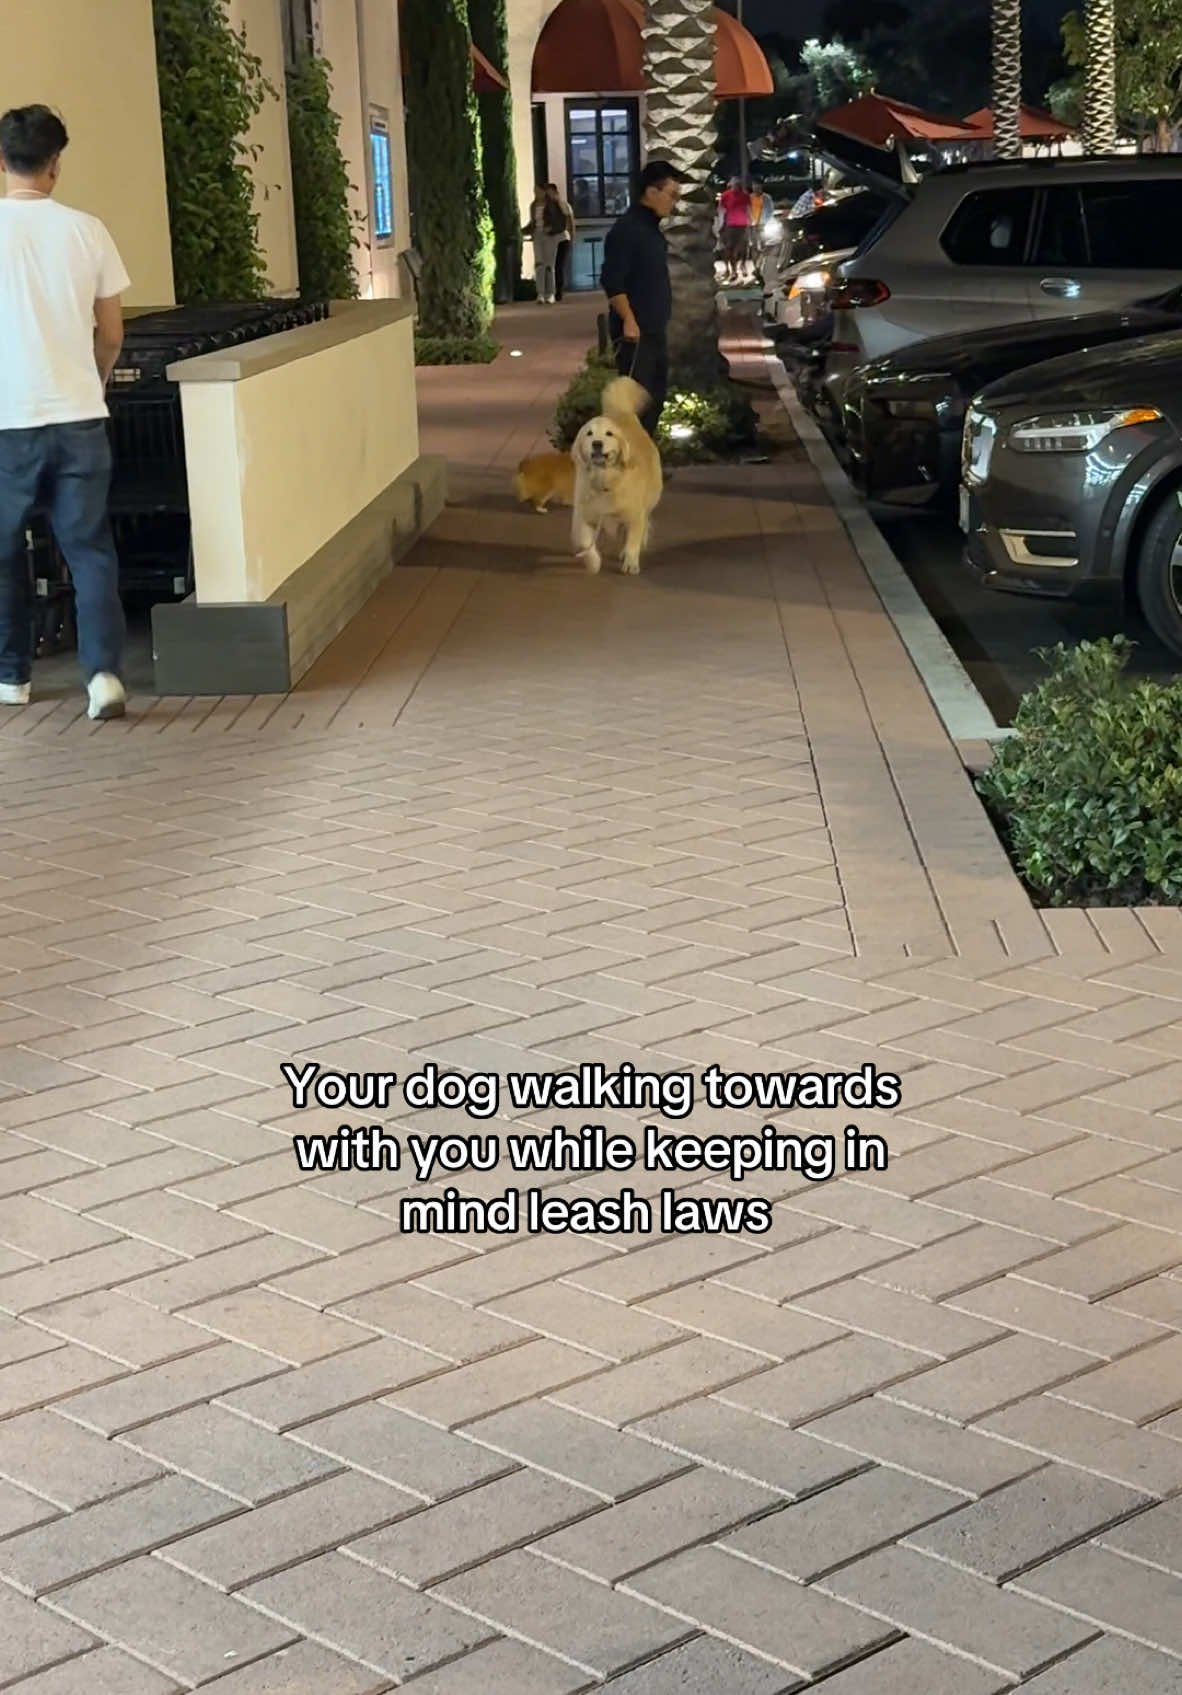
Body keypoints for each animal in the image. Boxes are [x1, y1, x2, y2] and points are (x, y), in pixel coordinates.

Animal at [573, 377, 664, 576]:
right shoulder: (585, 514)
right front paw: (593, 562)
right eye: (589, 433)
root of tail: (622, 413)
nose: (597, 443)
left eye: (609, 434)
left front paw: (630, 562)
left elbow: (633, 540)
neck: (605, 479)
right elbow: (585, 542)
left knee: (646, 521)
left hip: (651, 497)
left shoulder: (634, 514)